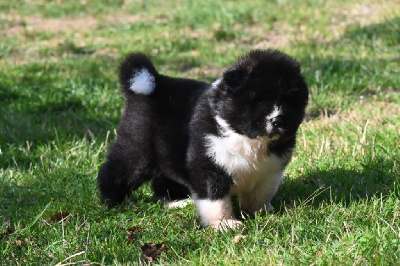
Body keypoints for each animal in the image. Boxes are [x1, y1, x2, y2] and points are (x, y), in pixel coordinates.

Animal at [97, 50, 310, 231]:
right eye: (257, 101)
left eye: (289, 101)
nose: (278, 119)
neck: (246, 138)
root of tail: (156, 84)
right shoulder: (209, 166)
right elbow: (215, 200)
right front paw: (224, 224)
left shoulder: (269, 171)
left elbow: (260, 194)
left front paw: (260, 212)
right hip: (137, 150)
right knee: (114, 171)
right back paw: (115, 203)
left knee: (163, 181)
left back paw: (177, 202)